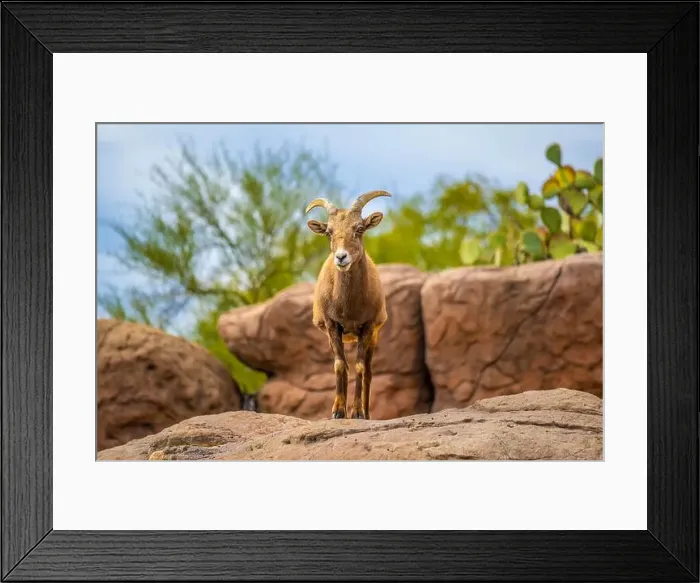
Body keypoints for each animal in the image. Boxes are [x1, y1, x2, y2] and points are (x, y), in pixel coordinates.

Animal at [305, 190, 391, 420]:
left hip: (374, 337)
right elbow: (340, 365)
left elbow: (359, 367)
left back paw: (367, 414)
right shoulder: (333, 325)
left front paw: (358, 413)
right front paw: (338, 412)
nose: (341, 257)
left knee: (368, 372)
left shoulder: (368, 327)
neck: (349, 306)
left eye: (359, 229)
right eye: (329, 232)